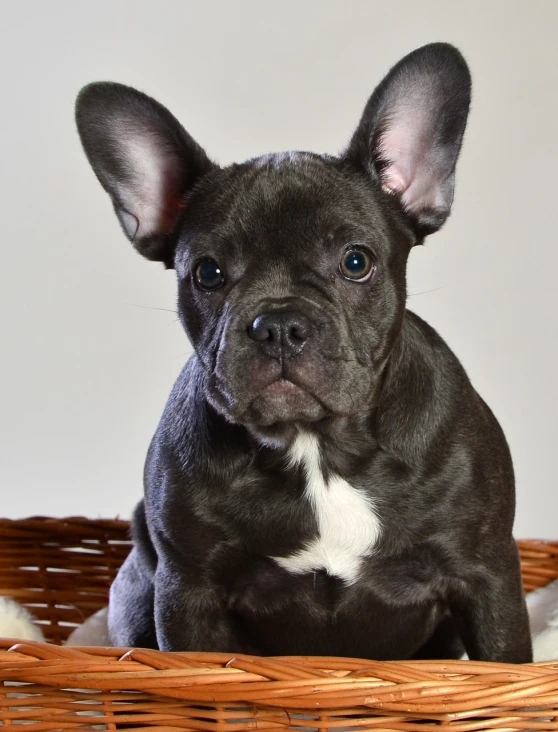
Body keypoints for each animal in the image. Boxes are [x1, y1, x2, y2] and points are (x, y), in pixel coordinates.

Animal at [75, 41, 532, 664]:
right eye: (208, 273)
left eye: (356, 262)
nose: (279, 324)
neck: (316, 448)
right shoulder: (188, 592)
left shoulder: (487, 577)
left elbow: (505, 659)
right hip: (136, 589)